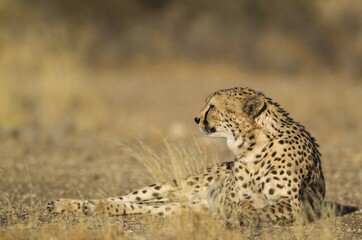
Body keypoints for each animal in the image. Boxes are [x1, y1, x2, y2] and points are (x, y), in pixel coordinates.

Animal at [47, 86, 326, 227]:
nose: (195, 118)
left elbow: (259, 209)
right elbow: (241, 205)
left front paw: (239, 216)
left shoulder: (293, 205)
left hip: (184, 204)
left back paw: (98, 208)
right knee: (126, 197)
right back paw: (69, 204)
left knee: (145, 207)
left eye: (212, 106)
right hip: (177, 185)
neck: (252, 144)